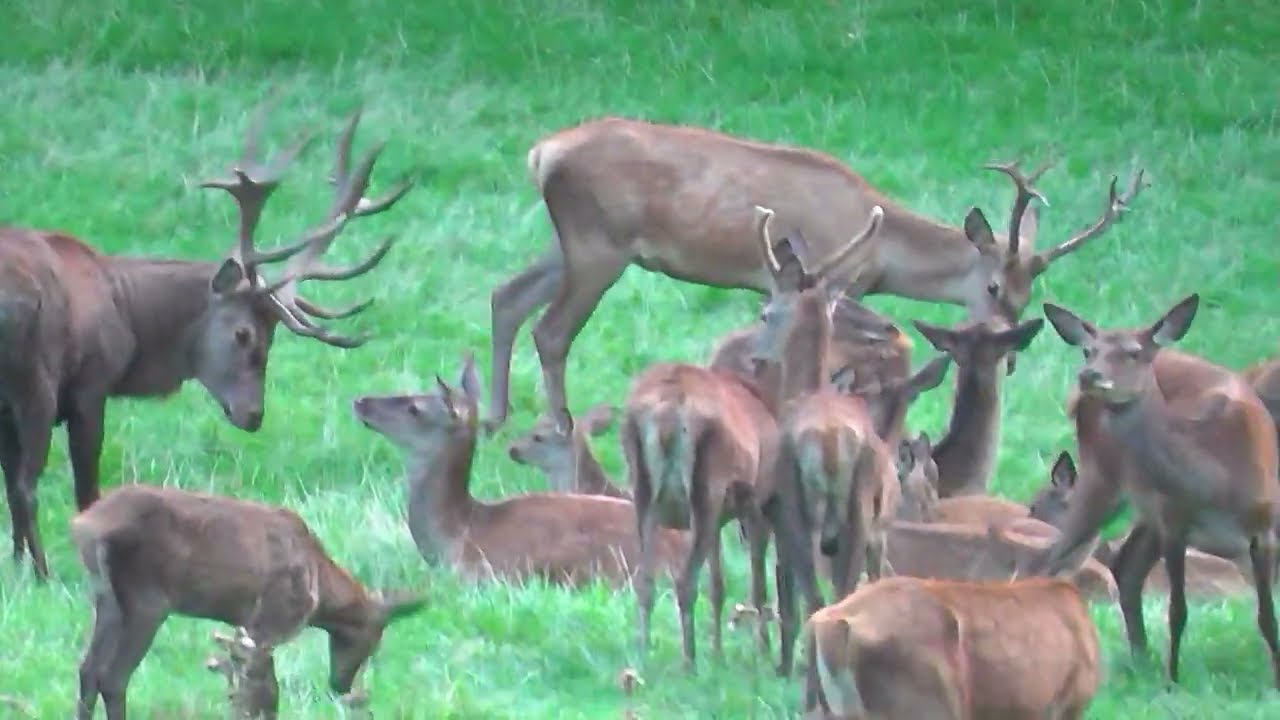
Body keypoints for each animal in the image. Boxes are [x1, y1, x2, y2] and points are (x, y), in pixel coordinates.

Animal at [0, 96, 411, 580]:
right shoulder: (90, 385)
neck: (126, 314)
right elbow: (84, 491)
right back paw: (45, 573)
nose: (253, 414)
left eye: (273, 337)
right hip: (36, 378)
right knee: (29, 484)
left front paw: (16, 566)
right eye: (242, 333)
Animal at [70, 483, 426, 720]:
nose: (341, 685)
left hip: (105, 598)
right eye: (374, 640)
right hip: (146, 601)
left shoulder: (245, 624)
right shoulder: (270, 618)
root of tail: (83, 526)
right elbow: (261, 687)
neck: (320, 589)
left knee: (88, 669)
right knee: (112, 676)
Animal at [485, 115, 1148, 433]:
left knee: (506, 297)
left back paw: (495, 415)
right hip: (599, 242)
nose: (1008, 355)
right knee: (551, 330)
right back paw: (560, 423)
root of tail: (542, 153)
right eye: (990, 287)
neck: (883, 252)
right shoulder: (838, 279)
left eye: (1028, 292)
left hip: (570, 241)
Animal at [1026, 293, 1280, 688]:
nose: (1089, 375)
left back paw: (1141, 660)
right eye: (1088, 350)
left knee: (1126, 567)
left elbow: (1267, 615)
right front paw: (1172, 680)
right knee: (1050, 562)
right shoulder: (1175, 523)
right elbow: (1178, 611)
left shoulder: (1263, 526)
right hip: (1103, 481)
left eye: (1133, 353)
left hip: (1145, 511)